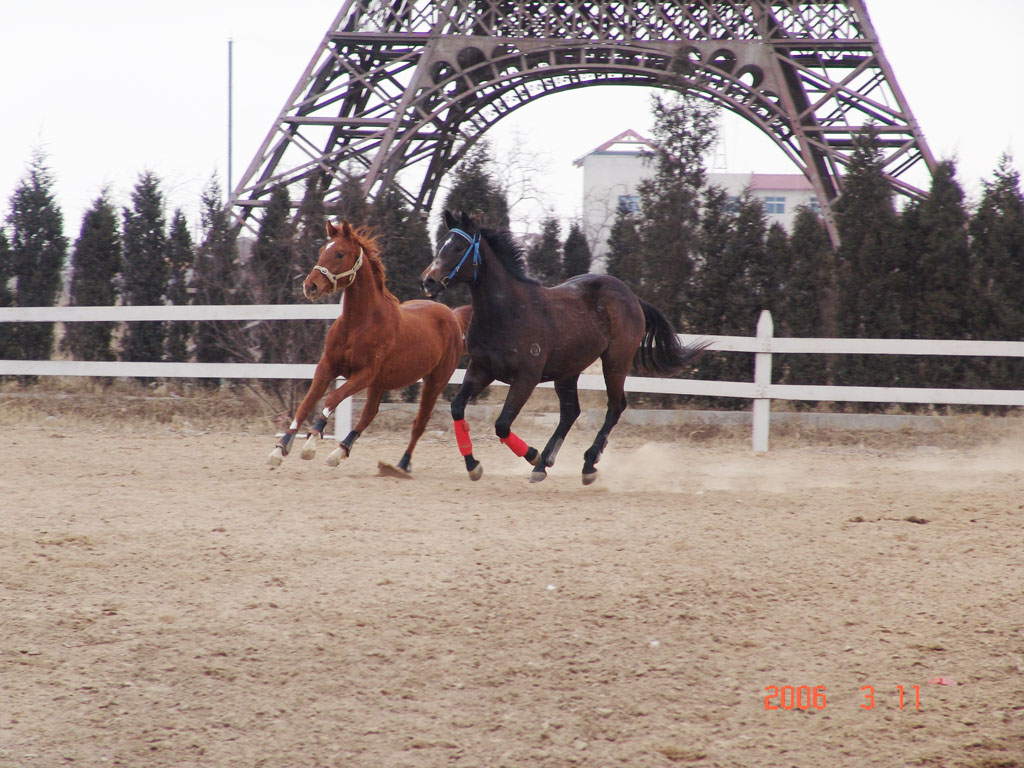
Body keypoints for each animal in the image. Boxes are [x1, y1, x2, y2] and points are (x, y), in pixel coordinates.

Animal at [266, 219, 468, 479]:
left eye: (340, 253)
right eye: (322, 250)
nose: (310, 286)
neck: (358, 324)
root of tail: (452, 316)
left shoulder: (363, 375)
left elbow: (332, 398)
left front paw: (310, 443)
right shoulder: (327, 367)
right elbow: (306, 403)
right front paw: (280, 449)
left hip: (435, 381)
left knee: (419, 423)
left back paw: (401, 466)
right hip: (382, 382)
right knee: (370, 413)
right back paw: (338, 453)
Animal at [419, 210, 708, 487]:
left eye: (458, 247)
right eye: (441, 244)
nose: (428, 281)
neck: (507, 312)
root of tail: (631, 296)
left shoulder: (526, 378)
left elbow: (502, 425)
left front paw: (532, 455)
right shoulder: (481, 370)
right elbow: (457, 408)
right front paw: (474, 465)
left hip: (615, 362)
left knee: (615, 406)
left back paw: (587, 463)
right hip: (568, 371)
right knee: (571, 412)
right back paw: (544, 466)